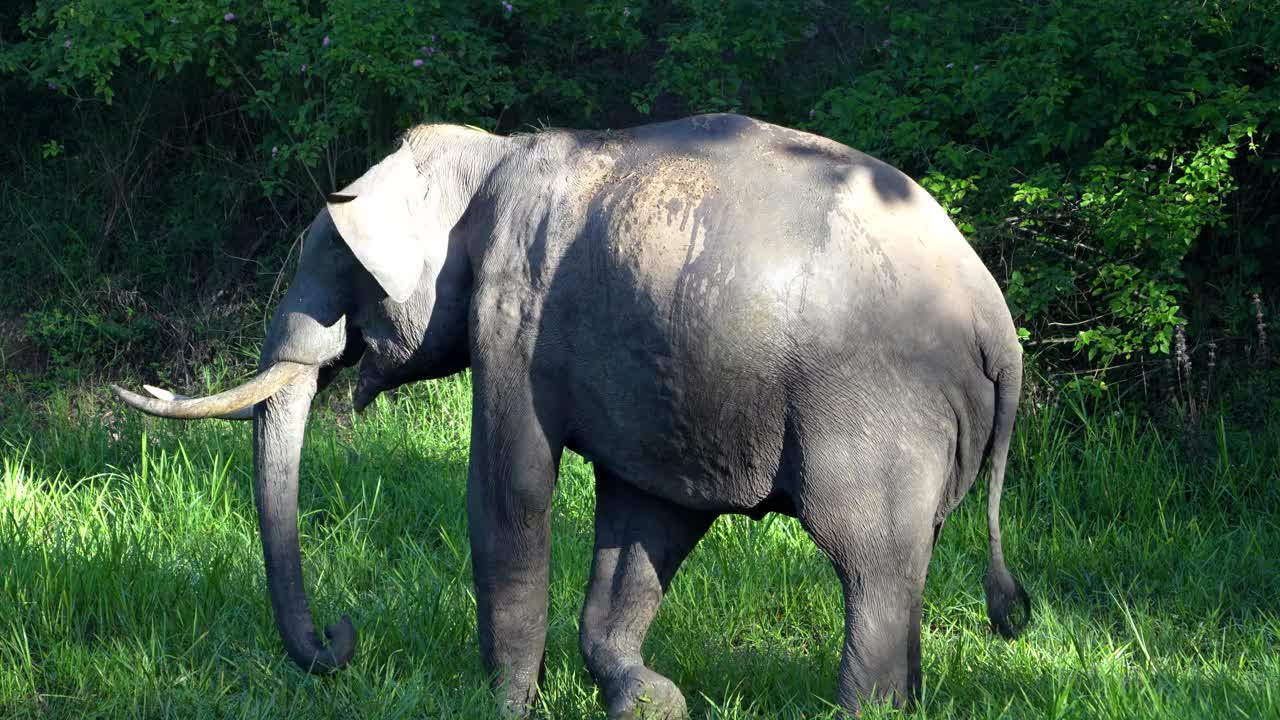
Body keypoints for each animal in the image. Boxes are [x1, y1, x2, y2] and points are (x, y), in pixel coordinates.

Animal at [115, 110, 1034, 712]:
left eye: (334, 268)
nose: (339, 641)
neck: (485, 155)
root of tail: (999, 328)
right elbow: (646, 517)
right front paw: (647, 698)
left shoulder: (514, 312)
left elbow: (510, 494)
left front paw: (507, 706)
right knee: (906, 561)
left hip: (878, 407)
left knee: (867, 563)